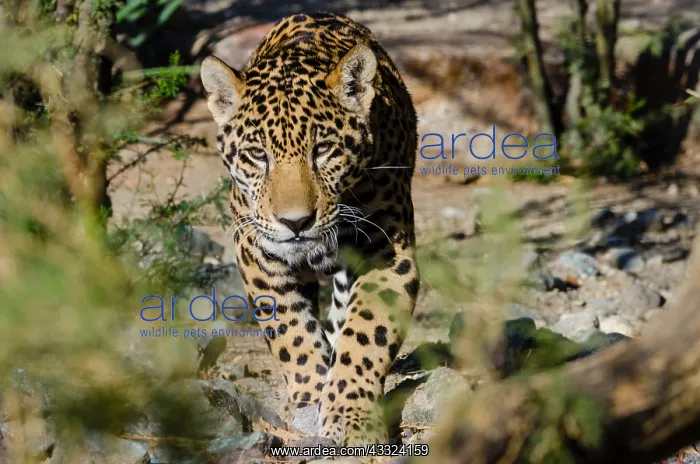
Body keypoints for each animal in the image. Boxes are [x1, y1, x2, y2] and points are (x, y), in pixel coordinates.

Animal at [200, 11, 419, 446]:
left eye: (323, 150)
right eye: (257, 155)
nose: (296, 222)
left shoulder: (389, 254)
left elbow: (365, 333)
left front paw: (350, 414)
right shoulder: (257, 253)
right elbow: (291, 332)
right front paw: (309, 396)